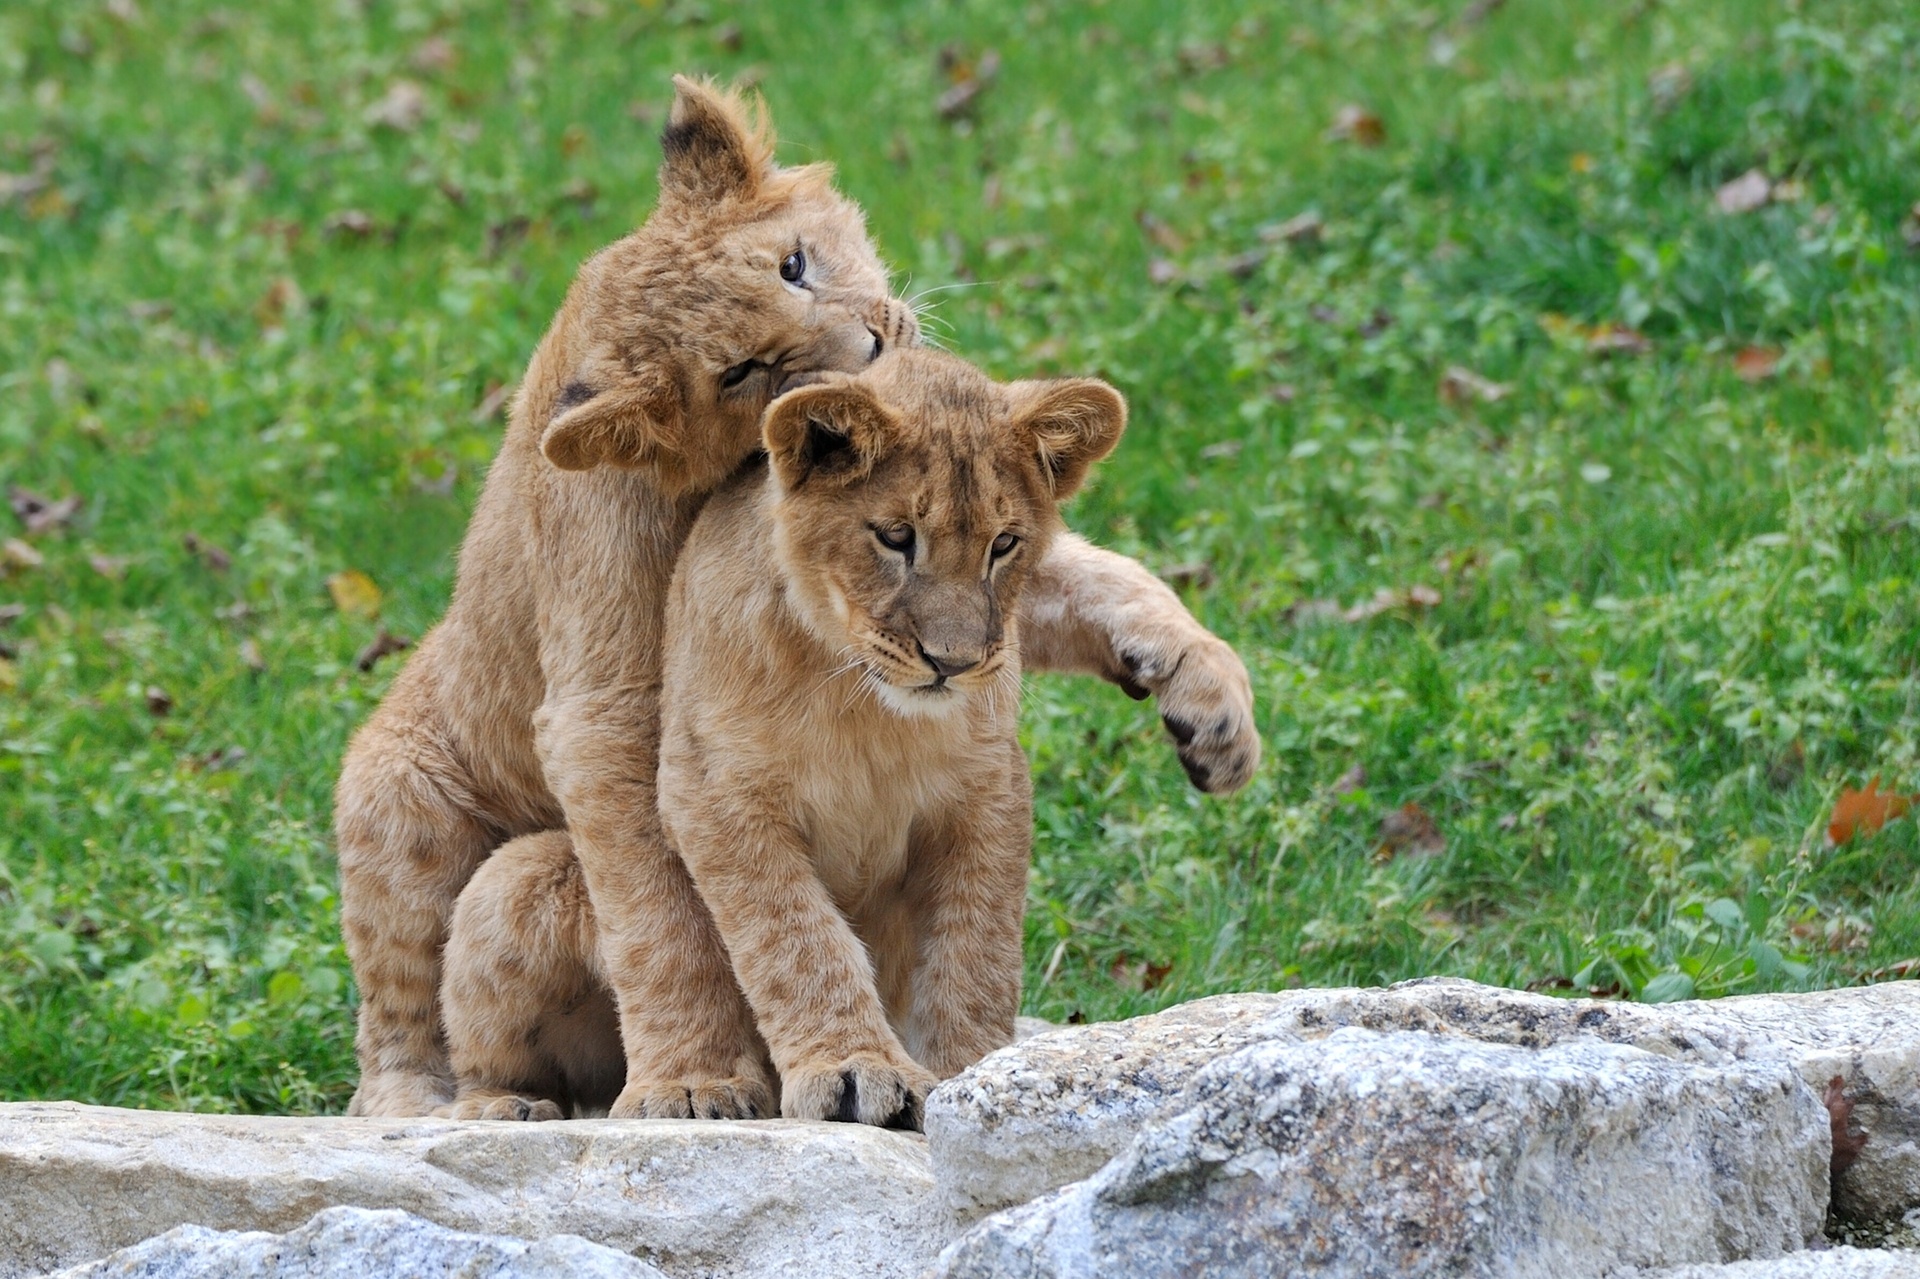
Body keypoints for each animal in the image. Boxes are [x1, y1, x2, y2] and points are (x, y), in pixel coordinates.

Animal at [440, 348, 1125, 1126]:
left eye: (1004, 544)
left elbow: (975, 951)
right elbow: (795, 934)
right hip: (514, 879)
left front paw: (970, 1073)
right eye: (895, 537)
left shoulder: (987, 793)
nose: (952, 662)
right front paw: (855, 1069)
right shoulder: (713, 790)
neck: (860, 704)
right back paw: (508, 1104)